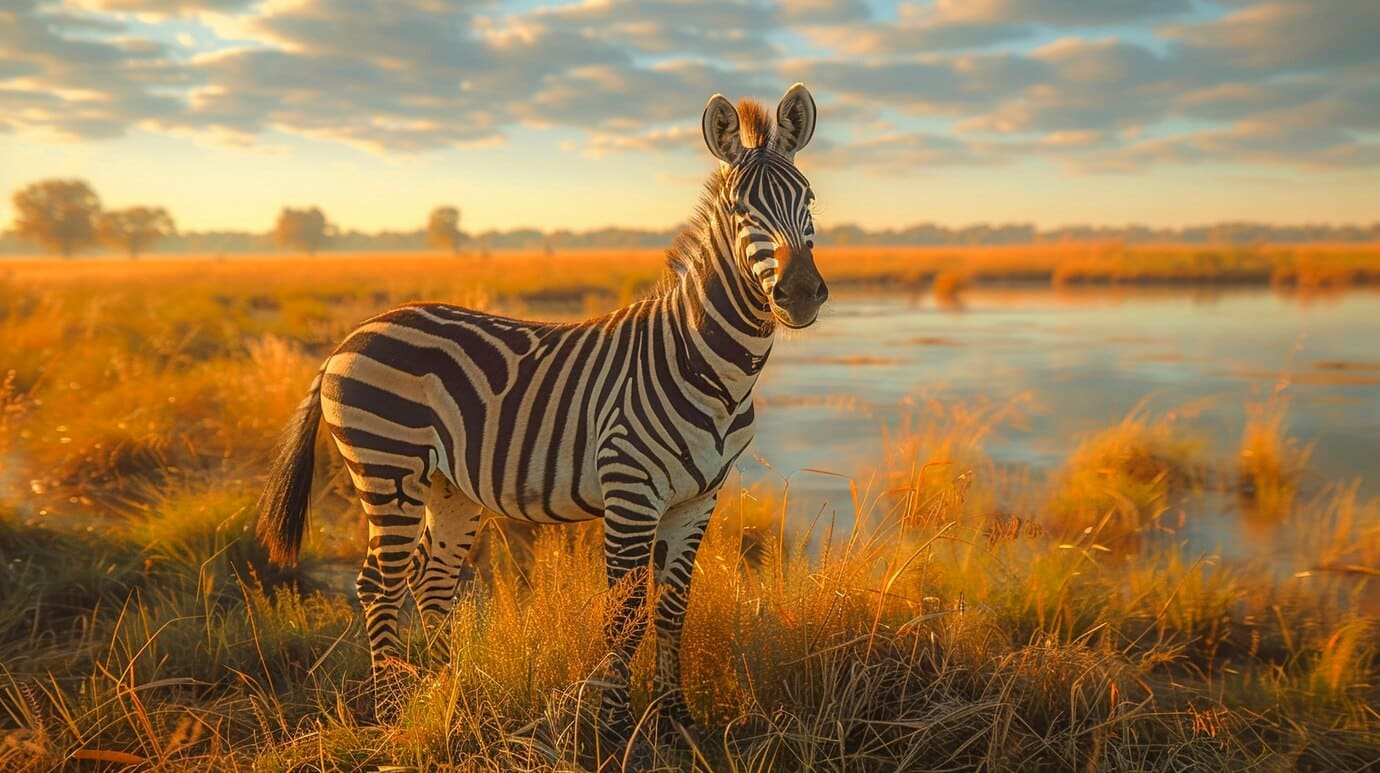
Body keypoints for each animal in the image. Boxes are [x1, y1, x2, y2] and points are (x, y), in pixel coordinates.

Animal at [253, 83, 822, 756]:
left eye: (809, 200)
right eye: (740, 210)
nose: (802, 294)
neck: (712, 370)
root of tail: (354, 333)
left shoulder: (698, 499)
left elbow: (672, 611)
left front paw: (675, 723)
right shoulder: (630, 492)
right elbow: (624, 618)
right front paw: (613, 733)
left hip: (448, 486)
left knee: (431, 581)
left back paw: (450, 697)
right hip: (387, 468)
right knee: (379, 584)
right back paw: (392, 715)